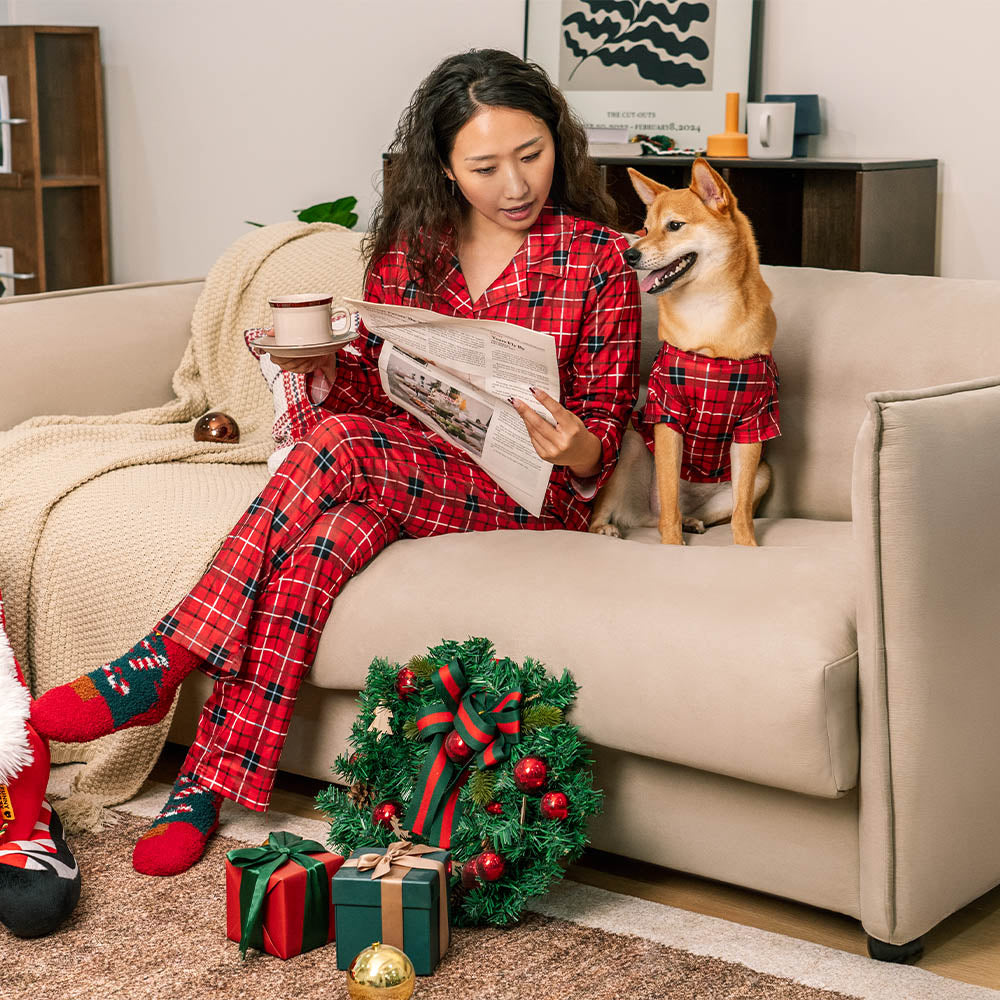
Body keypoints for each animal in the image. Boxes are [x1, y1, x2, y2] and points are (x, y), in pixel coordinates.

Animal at [588, 159, 776, 548]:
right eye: (644, 229)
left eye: (674, 226)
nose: (630, 254)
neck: (708, 316)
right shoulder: (668, 414)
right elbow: (670, 500)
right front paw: (674, 546)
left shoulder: (753, 423)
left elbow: (742, 514)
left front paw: (747, 547)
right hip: (631, 444)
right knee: (649, 511)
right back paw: (609, 527)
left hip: (763, 475)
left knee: (670, 516)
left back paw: (691, 520)